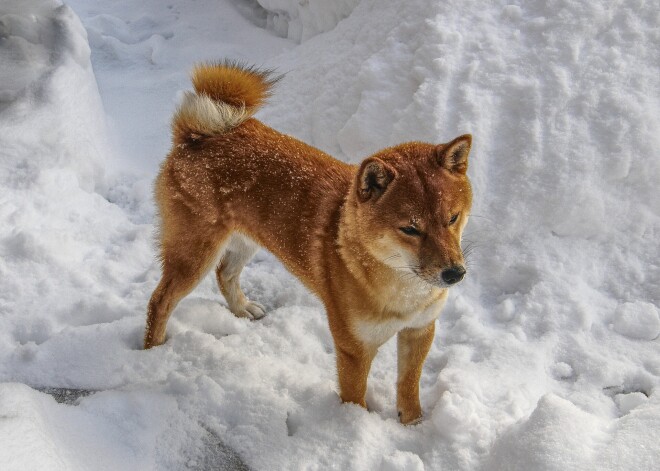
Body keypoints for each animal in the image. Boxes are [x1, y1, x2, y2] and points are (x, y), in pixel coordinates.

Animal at [145, 60, 472, 426]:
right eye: (411, 229)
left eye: (452, 218)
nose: (455, 274)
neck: (401, 286)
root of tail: (197, 136)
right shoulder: (354, 347)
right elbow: (355, 397)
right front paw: (352, 426)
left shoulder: (419, 330)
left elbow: (408, 385)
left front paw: (412, 423)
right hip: (194, 254)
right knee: (160, 301)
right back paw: (153, 350)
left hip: (244, 241)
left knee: (224, 275)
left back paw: (242, 309)